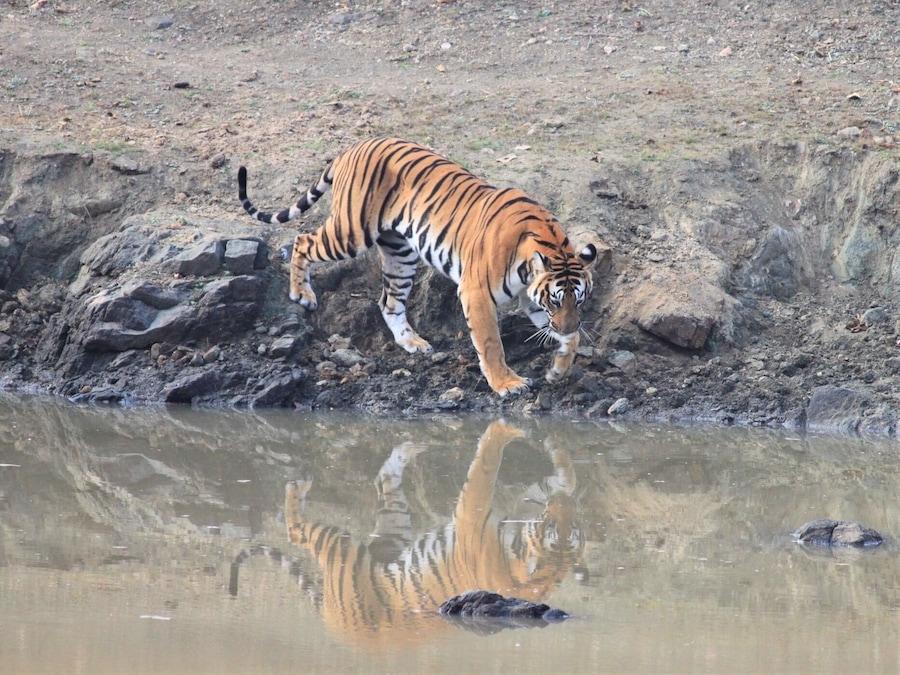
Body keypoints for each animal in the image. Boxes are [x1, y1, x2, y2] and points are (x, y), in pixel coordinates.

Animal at [237, 137, 598, 397]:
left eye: (578, 300)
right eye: (555, 300)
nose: (568, 323)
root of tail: (354, 146)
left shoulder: (530, 296)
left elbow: (568, 339)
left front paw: (559, 368)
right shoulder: (477, 292)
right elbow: (491, 343)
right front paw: (507, 384)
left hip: (401, 253)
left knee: (388, 302)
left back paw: (413, 343)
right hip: (350, 232)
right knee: (302, 240)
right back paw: (302, 294)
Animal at [280, 421, 585, 647]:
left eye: (573, 523)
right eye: (551, 524)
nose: (569, 506)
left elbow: (557, 482)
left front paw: (558, 461)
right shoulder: (473, 510)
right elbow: (490, 460)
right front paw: (508, 431)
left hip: (390, 533)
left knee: (382, 479)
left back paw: (408, 448)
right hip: (345, 551)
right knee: (296, 533)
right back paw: (299, 484)